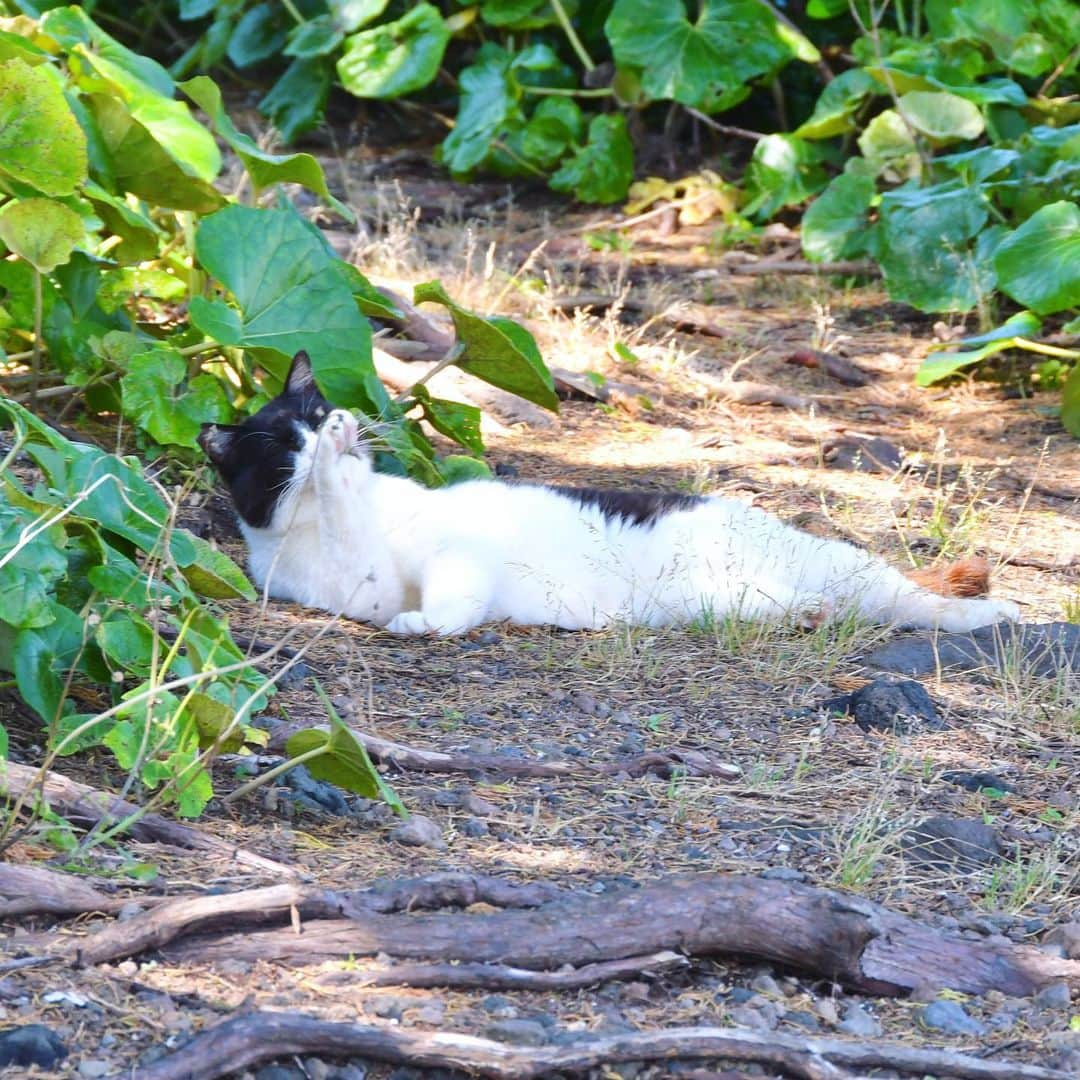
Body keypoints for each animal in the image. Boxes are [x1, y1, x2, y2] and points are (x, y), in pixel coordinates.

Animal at [200, 349, 1019, 635]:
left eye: (314, 413)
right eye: (286, 443)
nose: (333, 426)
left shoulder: (453, 554)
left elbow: (451, 597)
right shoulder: (360, 587)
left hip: (840, 567)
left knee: (920, 601)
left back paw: (995, 613)